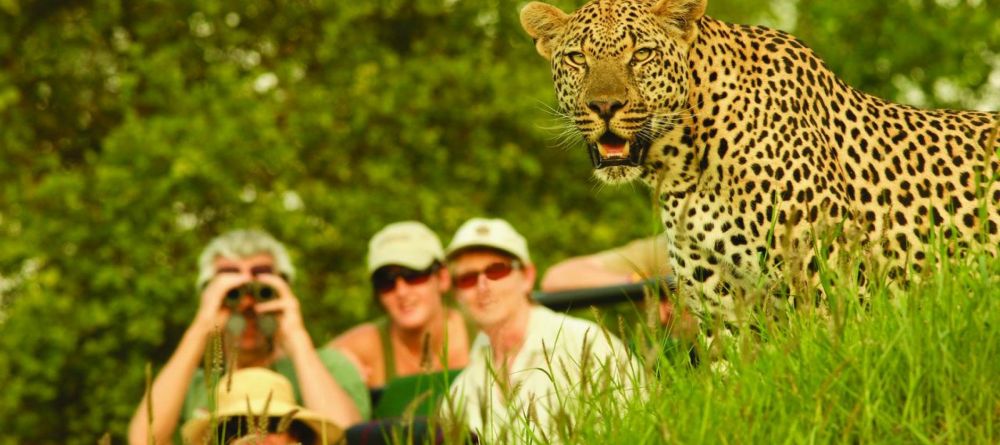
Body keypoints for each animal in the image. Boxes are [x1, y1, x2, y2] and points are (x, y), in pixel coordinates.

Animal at [520, 0, 996, 320]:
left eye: (641, 55)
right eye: (577, 58)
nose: (604, 106)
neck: (683, 166)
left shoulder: (829, 286)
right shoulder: (722, 306)